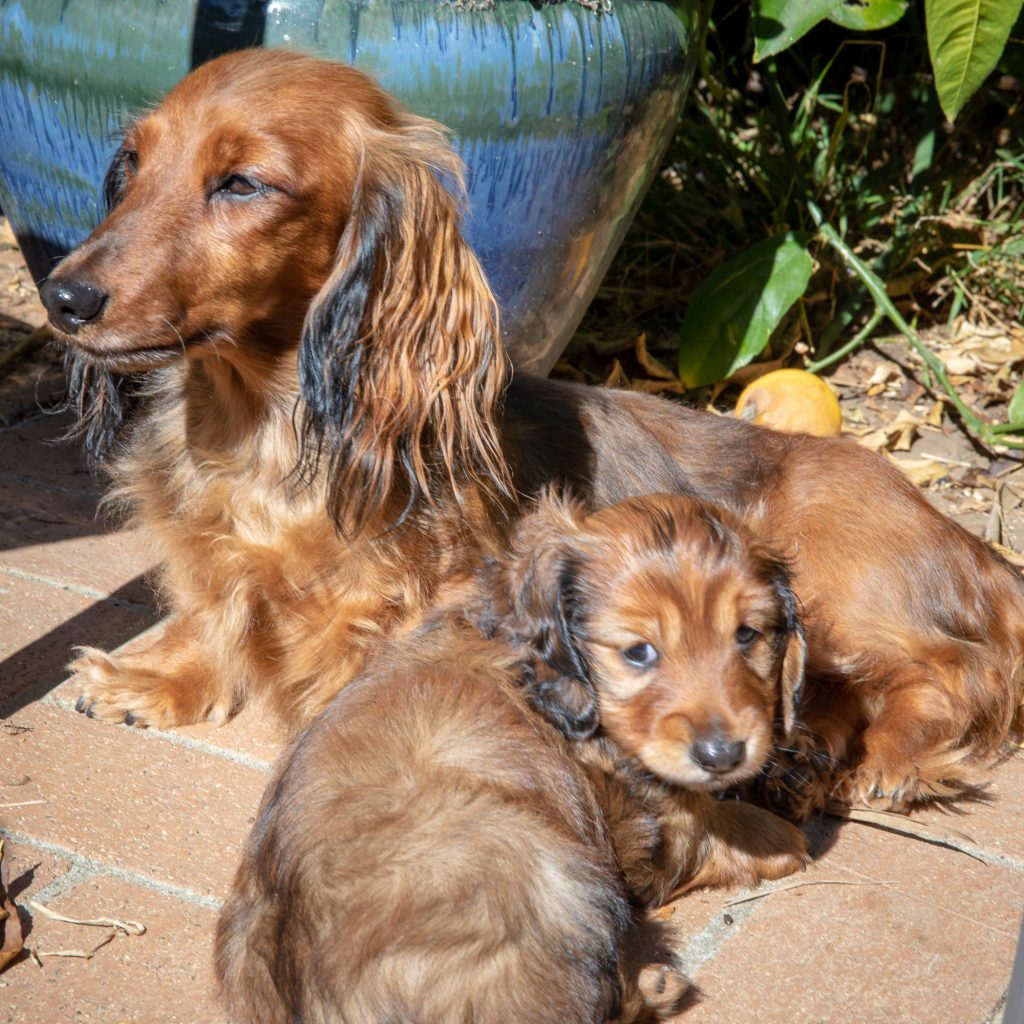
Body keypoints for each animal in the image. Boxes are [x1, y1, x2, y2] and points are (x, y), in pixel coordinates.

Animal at [485, 489, 1024, 823]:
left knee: (955, 670)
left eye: (746, 635)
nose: (722, 756)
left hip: (842, 597)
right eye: (638, 652)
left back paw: (887, 756)